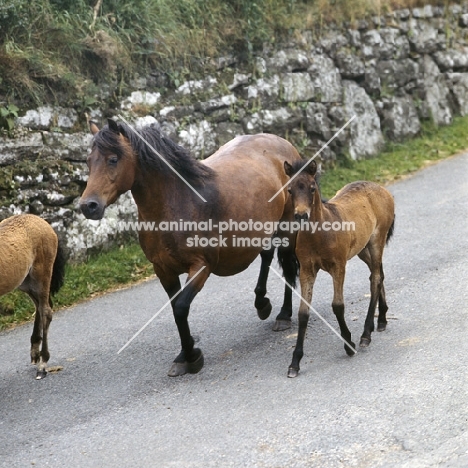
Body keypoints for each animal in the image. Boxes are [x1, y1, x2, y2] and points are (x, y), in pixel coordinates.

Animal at [0, 214, 66, 378]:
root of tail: (42, 221)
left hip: (41, 274)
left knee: (46, 311)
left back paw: (43, 363)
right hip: (25, 281)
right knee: (40, 306)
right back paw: (35, 351)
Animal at [79, 119, 302, 376]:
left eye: (113, 159)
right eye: (88, 161)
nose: (88, 206)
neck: (179, 203)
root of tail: (281, 142)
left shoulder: (201, 267)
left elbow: (181, 308)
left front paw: (192, 356)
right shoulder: (163, 270)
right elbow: (175, 309)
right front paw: (184, 355)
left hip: (287, 225)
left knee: (287, 265)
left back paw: (283, 314)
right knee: (266, 256)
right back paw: (262, 303)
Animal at [282, 160, 394, 376]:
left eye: (312, 188)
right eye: (290, 190)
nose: (301, 215)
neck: (319, 234)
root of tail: (382, 189)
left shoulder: (338, 266)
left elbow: (338, 305)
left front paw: (349, 344)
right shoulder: (307, 270)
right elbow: (303, 313)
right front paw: (294, 362)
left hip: (377, 241)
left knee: (376, 277)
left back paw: (366, 334)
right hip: (362, 248)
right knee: (378, 273)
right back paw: (382, 319)